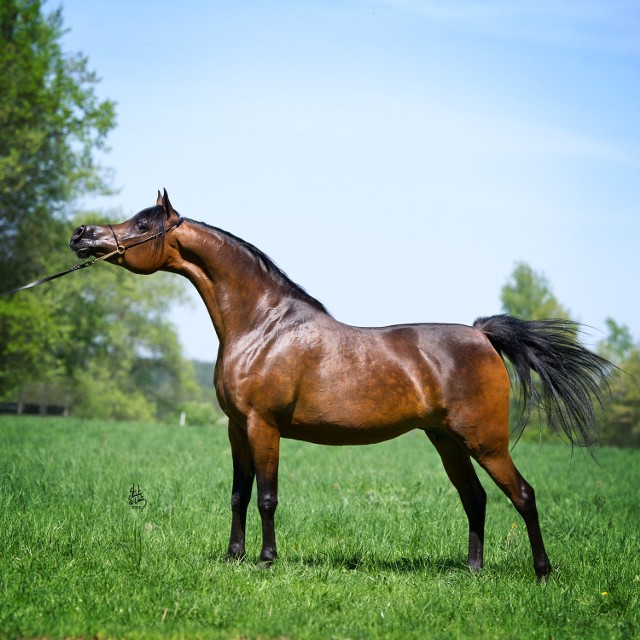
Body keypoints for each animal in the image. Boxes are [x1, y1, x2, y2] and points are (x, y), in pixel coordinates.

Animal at [67, 190, 612, 580]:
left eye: (142, 225)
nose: (81, 234)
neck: (263, 326)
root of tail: (482, 335)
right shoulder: (236, 428)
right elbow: (239, 495)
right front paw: (233, 557)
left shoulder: (263, 426)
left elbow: (267, 496)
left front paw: (265, 559)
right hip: (447, 440)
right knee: (475, 498)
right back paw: (471, 570)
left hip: (485, 440)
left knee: (523, 495)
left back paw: (542, 572)